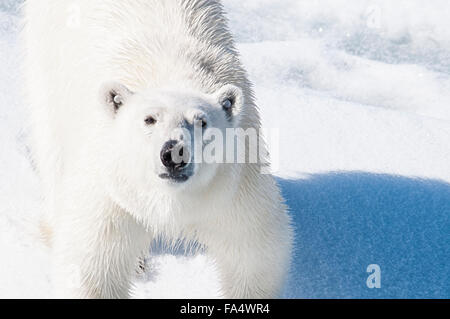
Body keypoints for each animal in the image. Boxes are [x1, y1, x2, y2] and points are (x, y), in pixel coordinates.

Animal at [22, 0, 294, 300]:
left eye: (201, 121)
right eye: (149, 119)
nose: (174, 153)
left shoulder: (231, 187)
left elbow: (253, 253)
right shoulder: (112, 191)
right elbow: (93, 266)